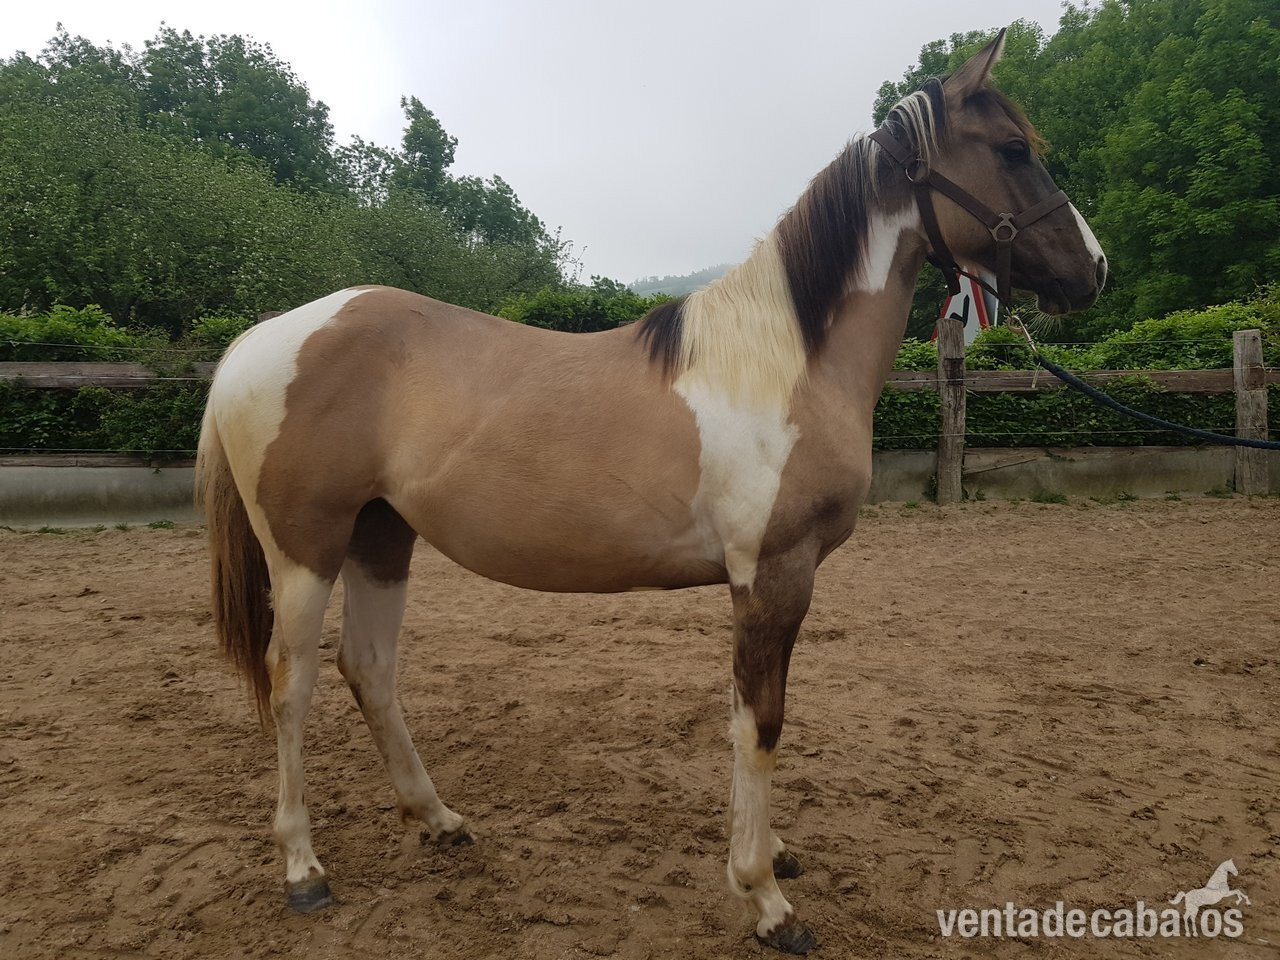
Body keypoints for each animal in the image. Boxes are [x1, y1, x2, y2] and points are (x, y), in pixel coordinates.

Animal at [196, 30, 1105, 953]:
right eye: (1012, 149)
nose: (1094, 269)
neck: (784, 363)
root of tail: (257, 342)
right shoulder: (773, 574)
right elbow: (760, 723)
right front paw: (764, 896)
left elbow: (754, 715)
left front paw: (774, 856)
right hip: (306, 550)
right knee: (291, 683)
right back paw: (304, 869)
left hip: (381, 536)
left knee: (370, 668)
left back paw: (439, 819)